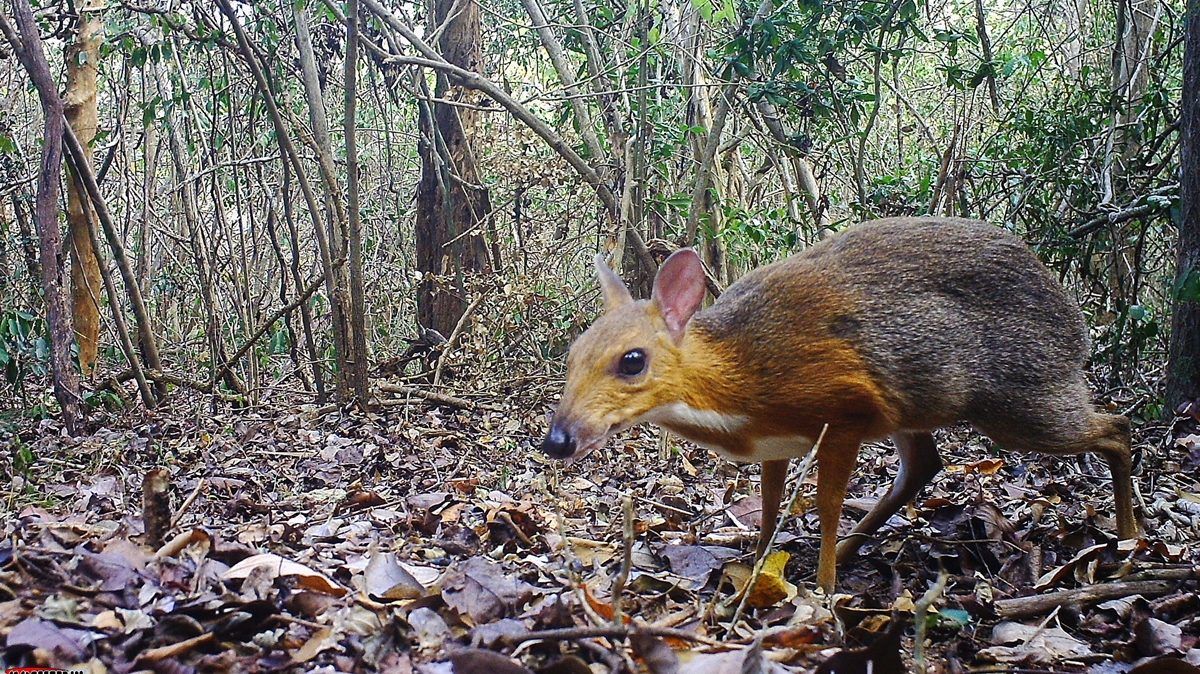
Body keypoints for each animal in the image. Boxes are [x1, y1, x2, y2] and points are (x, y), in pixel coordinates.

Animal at [540, 215, 1137, 587]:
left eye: (632, 360)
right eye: (573, 354)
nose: (557, 439)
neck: (740, 376)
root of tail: (1077, 321)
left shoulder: (847, 409)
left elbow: (825, 505)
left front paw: (823, 589)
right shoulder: (778, 442)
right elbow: (770, 507)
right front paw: (758, 570)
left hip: (1023, 396)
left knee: (1116, 426)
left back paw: (1132, 541)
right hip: (919, 408)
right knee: (925, 465)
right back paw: (855, 547)